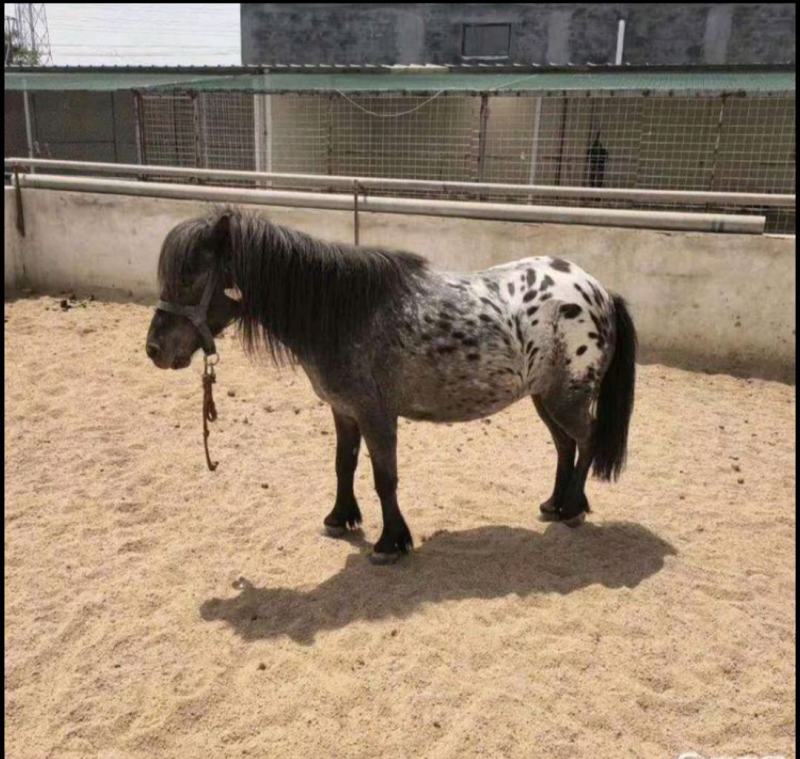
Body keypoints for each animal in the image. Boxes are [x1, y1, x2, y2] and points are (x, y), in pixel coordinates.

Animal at [146, 207, 637, 564]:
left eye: (189, 276)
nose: (154, 349)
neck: (344, 314)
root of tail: (599, 289)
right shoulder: (344, 411)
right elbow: (343, 465)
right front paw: (340, 518)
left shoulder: (377, 415)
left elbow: (385, 477)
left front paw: (391, 542)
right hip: (543, 397)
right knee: (565, 446)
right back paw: (554, 505)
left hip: (566, 397)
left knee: (587, 440)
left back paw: (572, 509)